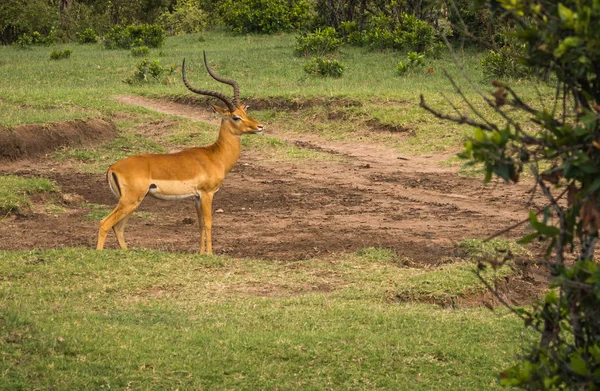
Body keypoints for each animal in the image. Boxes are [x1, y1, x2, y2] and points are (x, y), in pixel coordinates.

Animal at [97, 51, 264, 254]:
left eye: (244, 112)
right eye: (236, 117)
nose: (260, 127)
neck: (215, 155)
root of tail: (112, 168)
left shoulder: (196, 197)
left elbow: (200, 225)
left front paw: (201, 254)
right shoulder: (207, 194)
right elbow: (208, 223)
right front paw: (210, 254)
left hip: (132, 202)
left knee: (118, 227)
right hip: (130, 201)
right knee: (105, 223)